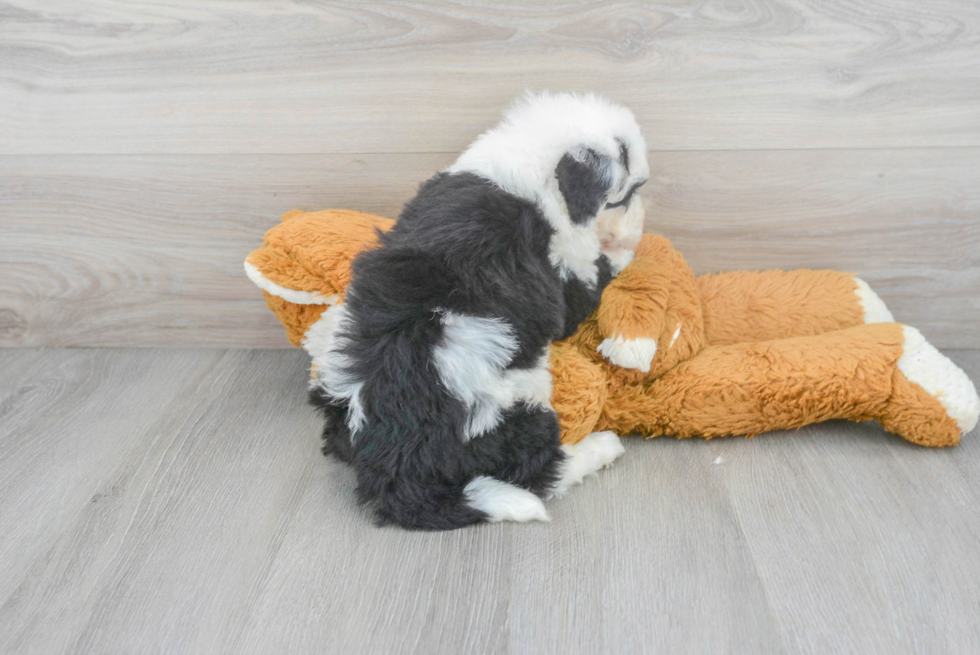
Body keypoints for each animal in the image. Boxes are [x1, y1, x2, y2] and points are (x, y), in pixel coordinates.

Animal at [310, 92, 652, 532]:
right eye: (626, 190)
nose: (642, 206)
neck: (528, 163)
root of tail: (393, 470)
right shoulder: (564, 280)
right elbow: (599, 270)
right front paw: (629, 244)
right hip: (512, 411)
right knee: (542, 471)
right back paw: (602, 446)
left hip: (334, 389)